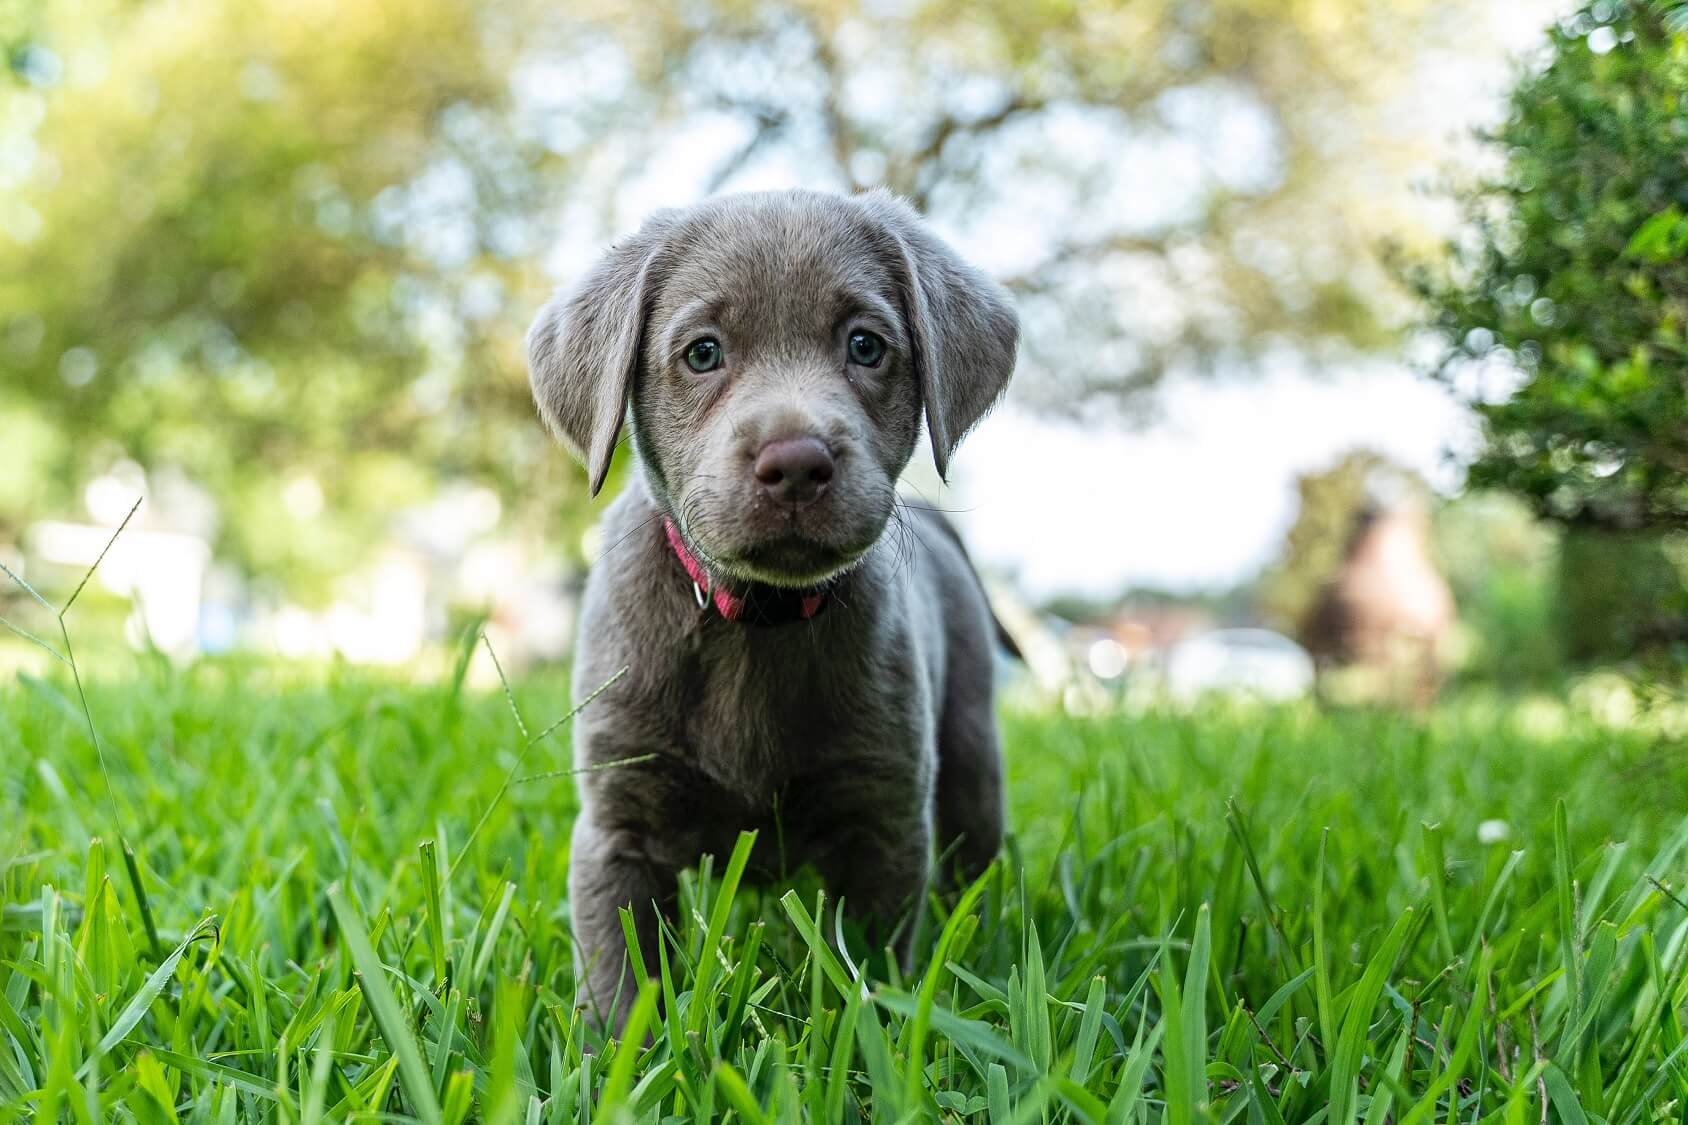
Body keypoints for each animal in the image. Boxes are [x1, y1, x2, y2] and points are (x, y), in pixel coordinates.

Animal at [526, 188, 1012, 1027]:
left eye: (865, 345)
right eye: (703, 353)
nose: (796, 462)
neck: (759, 618)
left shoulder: (884, 818)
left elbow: (867, 969)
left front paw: (871, 1037)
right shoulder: (619, 826)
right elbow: (621, 975)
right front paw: (615, 1050)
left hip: (971, 750)